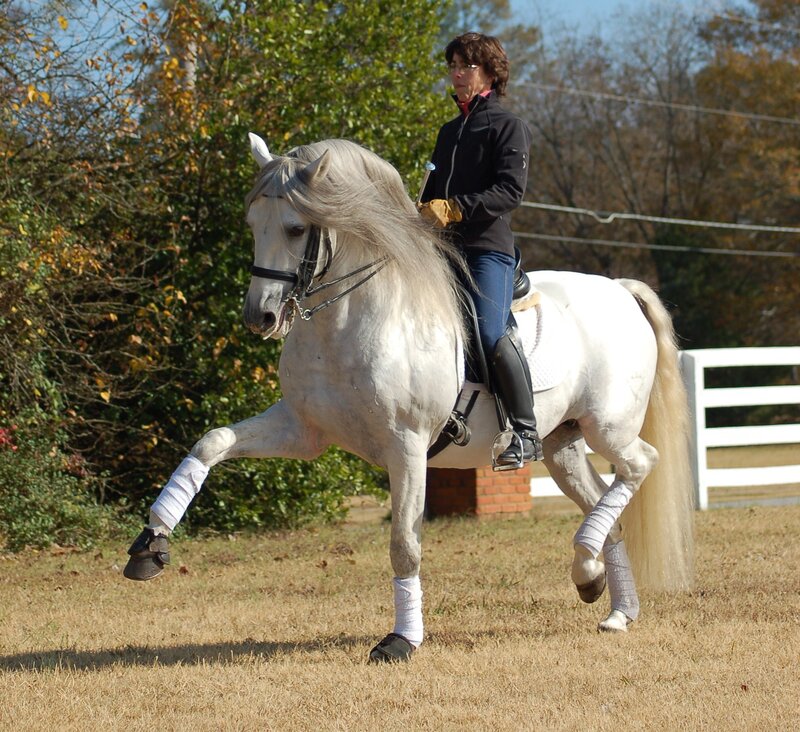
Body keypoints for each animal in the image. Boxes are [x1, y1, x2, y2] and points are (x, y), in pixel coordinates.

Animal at [124, 133, 694, 663]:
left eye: (295, 228)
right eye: (252, 225)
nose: (259, 317)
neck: (348, 317)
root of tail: (619, 289)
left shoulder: (407, 447)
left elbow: (404, 545)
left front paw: (401, 640)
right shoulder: (303, 431)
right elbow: (212, 442)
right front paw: (151, 545)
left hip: (608, 427)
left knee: (640, 463)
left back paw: (589, 567)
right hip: (561, 446)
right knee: (606, 502)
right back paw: (608, 597)